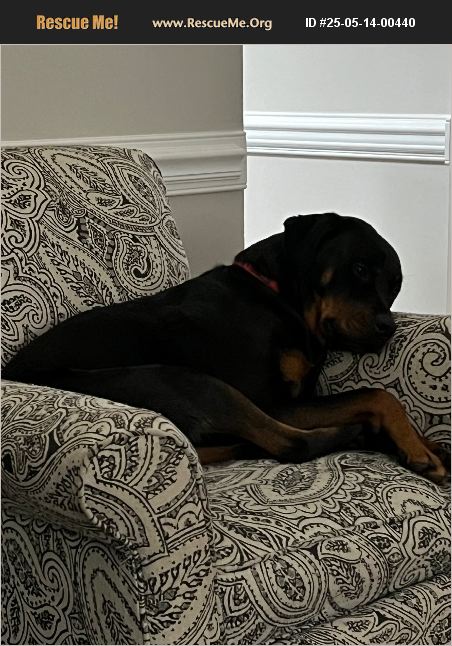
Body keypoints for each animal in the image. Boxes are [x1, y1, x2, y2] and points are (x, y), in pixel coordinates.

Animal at [3, 212, 448, 482]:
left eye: (395, 285)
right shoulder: (275, 402)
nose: (387, 327)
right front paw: (417, 449)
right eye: (359, 268)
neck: (277, 298)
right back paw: (359, 434)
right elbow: (378, 396)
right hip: (187, 380)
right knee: (292, 444)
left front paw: (424, 443)